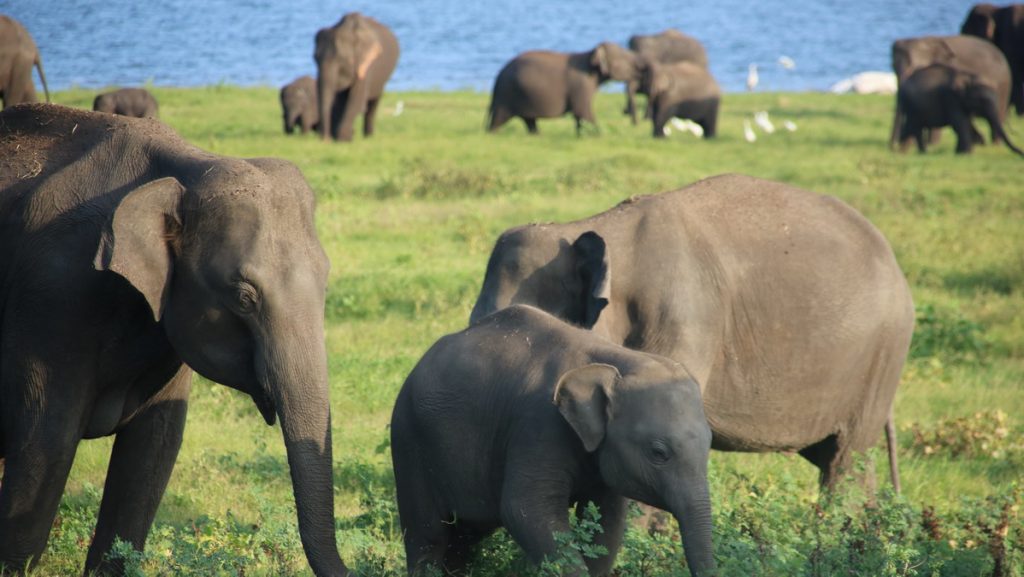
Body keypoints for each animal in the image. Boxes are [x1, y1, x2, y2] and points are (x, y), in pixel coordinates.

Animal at [0, 105, 348, 577]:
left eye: (326, 280)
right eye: (244, 297)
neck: (187, 165)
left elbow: (154, 449)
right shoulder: (52, 298)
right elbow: (45, 444)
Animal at [315, 13, 399, 142]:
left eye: (341, 59)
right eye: (315, 58)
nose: (325, 139)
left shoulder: (367, 64)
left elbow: (357, 101)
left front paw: (344, 139)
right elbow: (339, 101)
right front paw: (344, 136)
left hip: (382, 80)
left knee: (373, 103)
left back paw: (369, 137)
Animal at [387, 305, 716, 573]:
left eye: (709, 444)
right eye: (659, 452)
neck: (617, 362)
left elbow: (608, 523)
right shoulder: (538, 425)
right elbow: (524, 509)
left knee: (464, 538)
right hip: (408, 440)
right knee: (427, 535)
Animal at [487, 41, 638, 135]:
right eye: (625, 59)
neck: (589, 53)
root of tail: (498, 76)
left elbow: (580, 115)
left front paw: (581, 136)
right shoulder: (581, 85)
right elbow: (583, 111)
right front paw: (599, 136)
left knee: (529, 120)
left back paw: (537, 136)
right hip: (507, 96)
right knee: (498, 120)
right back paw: (492, 134)